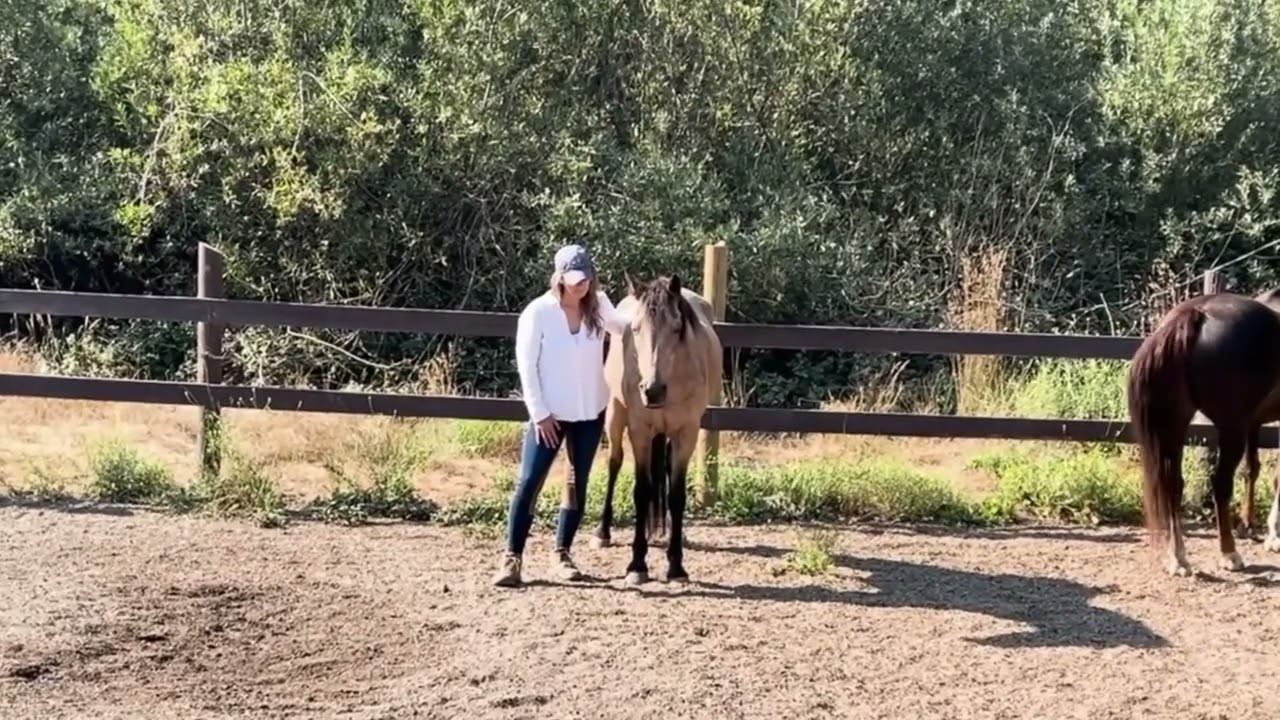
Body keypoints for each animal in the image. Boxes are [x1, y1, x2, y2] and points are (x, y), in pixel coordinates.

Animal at [590, 274, 722, 585]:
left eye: (676, 329)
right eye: (636, 329)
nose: (652, 391)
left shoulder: (686, 433)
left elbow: (676, 496)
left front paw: (676, 566)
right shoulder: (640, 431)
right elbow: (642, 491)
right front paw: (637, 565)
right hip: (616, 415)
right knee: (614, 462)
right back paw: (603, 531)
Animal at [1128, 291, 1280, 577]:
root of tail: (1195, 314)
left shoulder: (1255, 422)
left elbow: (1253, 468)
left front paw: (1250, 525)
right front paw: (1272, 535)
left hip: (1175, 425)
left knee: (1173, 484)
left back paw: (1179, 559)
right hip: (1231, 428)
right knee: (1220, 485)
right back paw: (1229, 554)